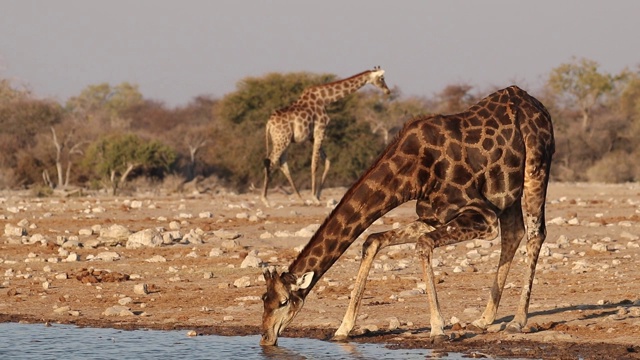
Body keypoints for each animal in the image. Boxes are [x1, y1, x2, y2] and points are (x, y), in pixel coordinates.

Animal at [260, 67, 390, 205]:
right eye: (382, 78)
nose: (388, 91)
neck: (325, 99)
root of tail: (268, 123)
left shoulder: (312, 136)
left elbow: (327, 162)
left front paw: (317, 196)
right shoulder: (320, 130)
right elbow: (315, 164)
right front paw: (314, 197)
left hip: (285, 141)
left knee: (283, 164)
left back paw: (300, 199)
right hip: (281, 140)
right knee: (270, 162)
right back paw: (265, 199)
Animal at [260, 85, 556, 346]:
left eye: (283, 302)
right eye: (264, 299)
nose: (265, 338)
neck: (412, 175)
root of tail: (540, 107)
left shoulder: (482, 216)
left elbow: (423, 245)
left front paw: (438, 330)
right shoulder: (432, 216)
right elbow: (373, 240)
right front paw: (342, 329)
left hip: (535, 168)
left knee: (535, 234)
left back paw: (517, 321)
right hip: (506, 193)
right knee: (514, 233)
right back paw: (484, 320)